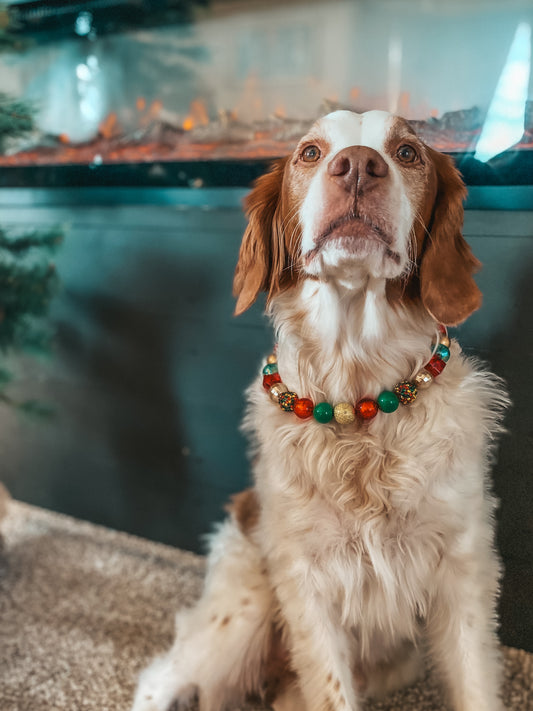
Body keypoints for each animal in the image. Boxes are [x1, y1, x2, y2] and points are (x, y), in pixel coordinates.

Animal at [132, 110, 508, 711]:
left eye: (407, 152)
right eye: (309, 152)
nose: (357, 166)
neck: (359, 411)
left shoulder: (462, 572)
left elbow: (474, 684)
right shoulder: (304, 583)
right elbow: (331, 689)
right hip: (241, 615)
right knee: (160, 679)